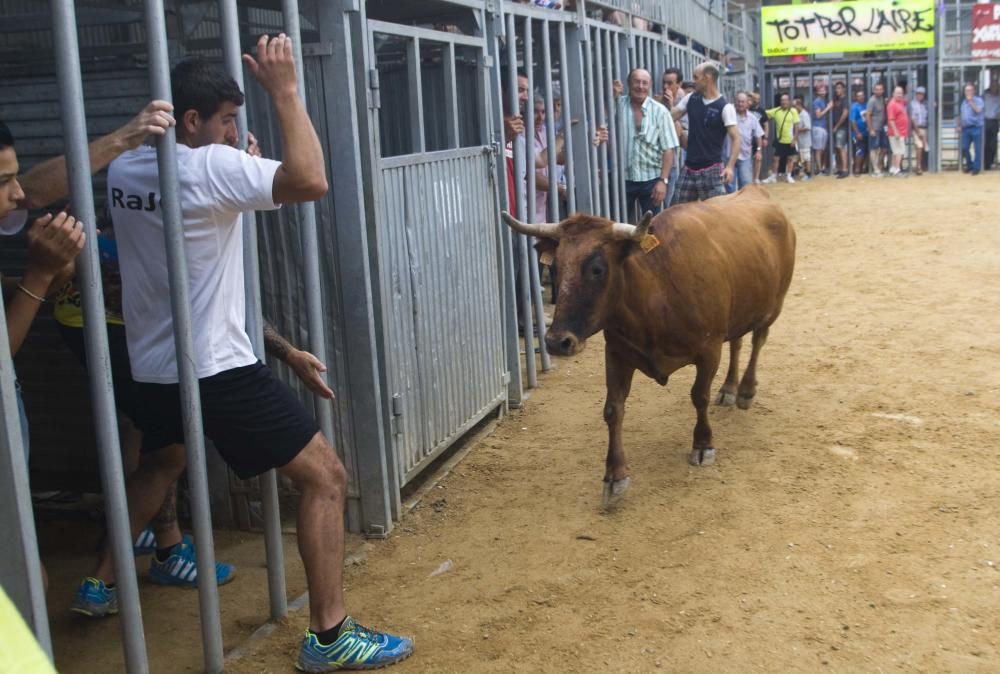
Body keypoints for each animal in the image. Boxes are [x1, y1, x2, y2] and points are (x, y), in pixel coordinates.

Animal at [508, 184, 796, 504]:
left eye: (597, 269)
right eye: (556, 267)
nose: (557, 341)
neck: (657, 291)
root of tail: (758, 192)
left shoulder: (709, 350)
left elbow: (699, 396)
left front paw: (703, 444)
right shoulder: (617, 353)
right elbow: (614, 409)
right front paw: (615, 476)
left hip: (773, 306)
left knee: (757, 341)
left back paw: (745, 390)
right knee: (738, 343)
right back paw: (729, 389)